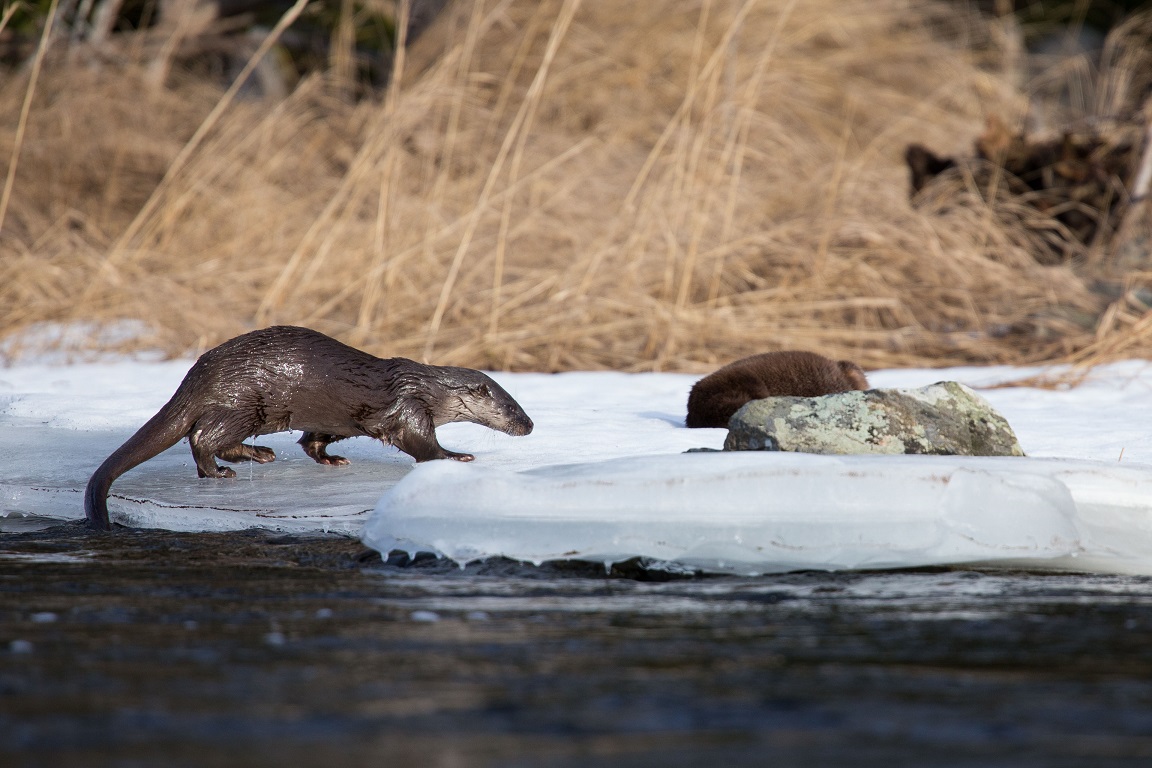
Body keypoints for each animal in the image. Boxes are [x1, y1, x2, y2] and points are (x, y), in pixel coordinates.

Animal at [85, 324, 534, 529]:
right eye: (512, 407)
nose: (529, 426)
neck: (428, 388)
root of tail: (198, 374)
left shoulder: (337, 418)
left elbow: (313, 440)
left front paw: (332, 460)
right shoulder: (410, 407)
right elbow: (421, 443)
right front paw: (457, 456)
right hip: (246, 403)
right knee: (203, 435)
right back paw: (240, 462)